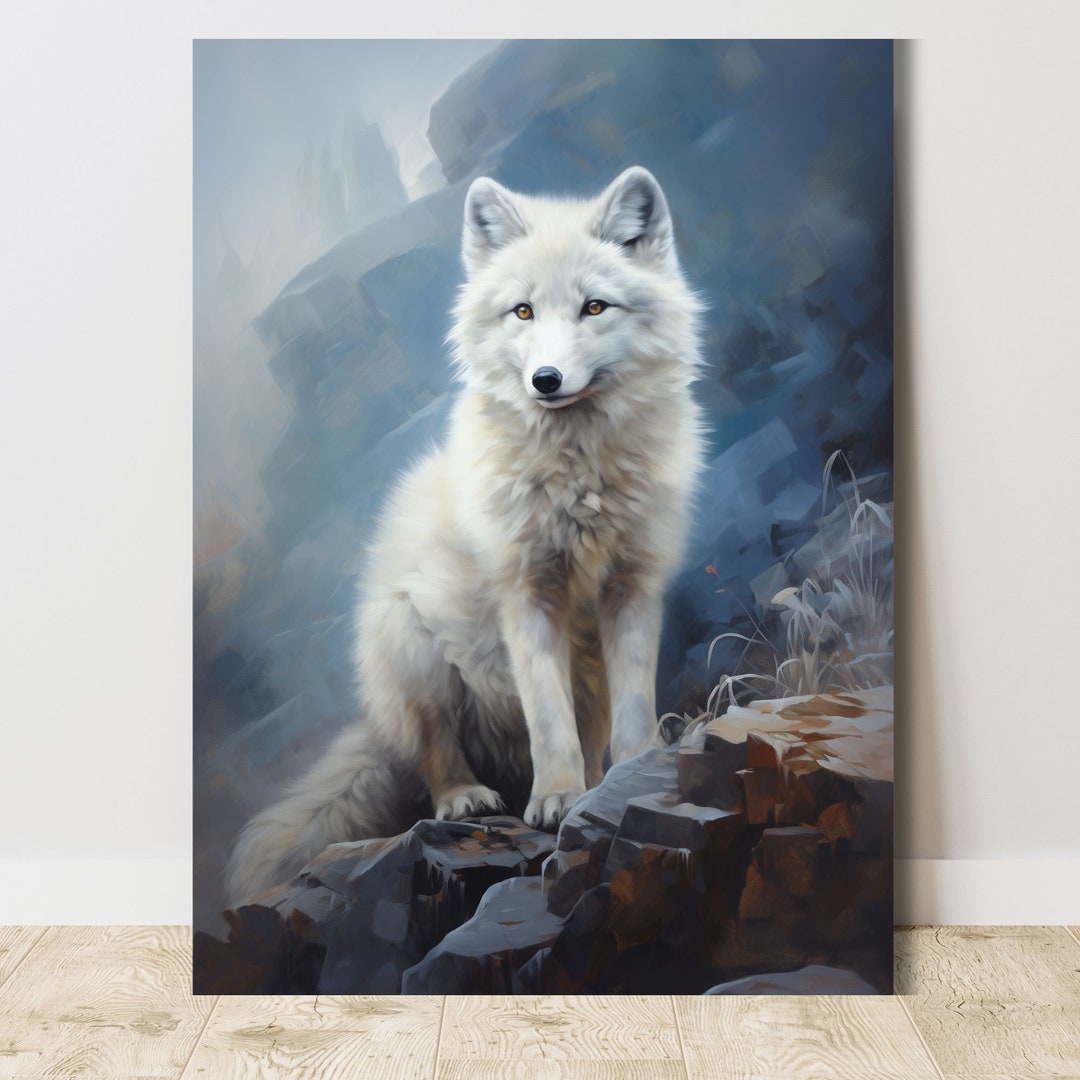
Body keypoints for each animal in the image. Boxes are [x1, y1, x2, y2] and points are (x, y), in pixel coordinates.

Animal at [226, 166, 705, 905]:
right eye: (523, 312)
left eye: (595, 308)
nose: (545, 380)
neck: (579, 471)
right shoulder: (525, 593)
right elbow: (549, 720)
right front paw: (556, 798)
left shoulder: (632, 588)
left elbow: (630, 712)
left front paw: (625, 779)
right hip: (411, 646)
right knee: (435, 752)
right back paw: (467, 798)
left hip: (580, 666)